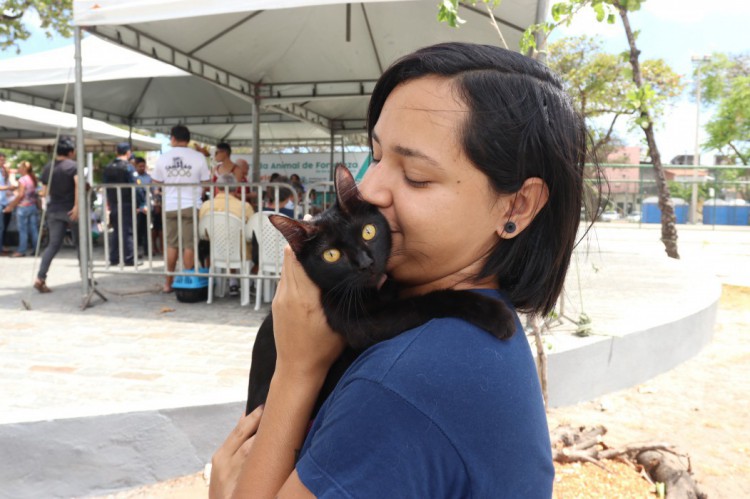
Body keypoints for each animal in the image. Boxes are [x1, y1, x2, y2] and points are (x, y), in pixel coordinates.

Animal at [247, 166, 516, 416]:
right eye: (331, 255)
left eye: (368, 231)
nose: (366, 263)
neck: (374, 291)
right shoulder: (357, 322)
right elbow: (425, 302)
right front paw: (494, 313)